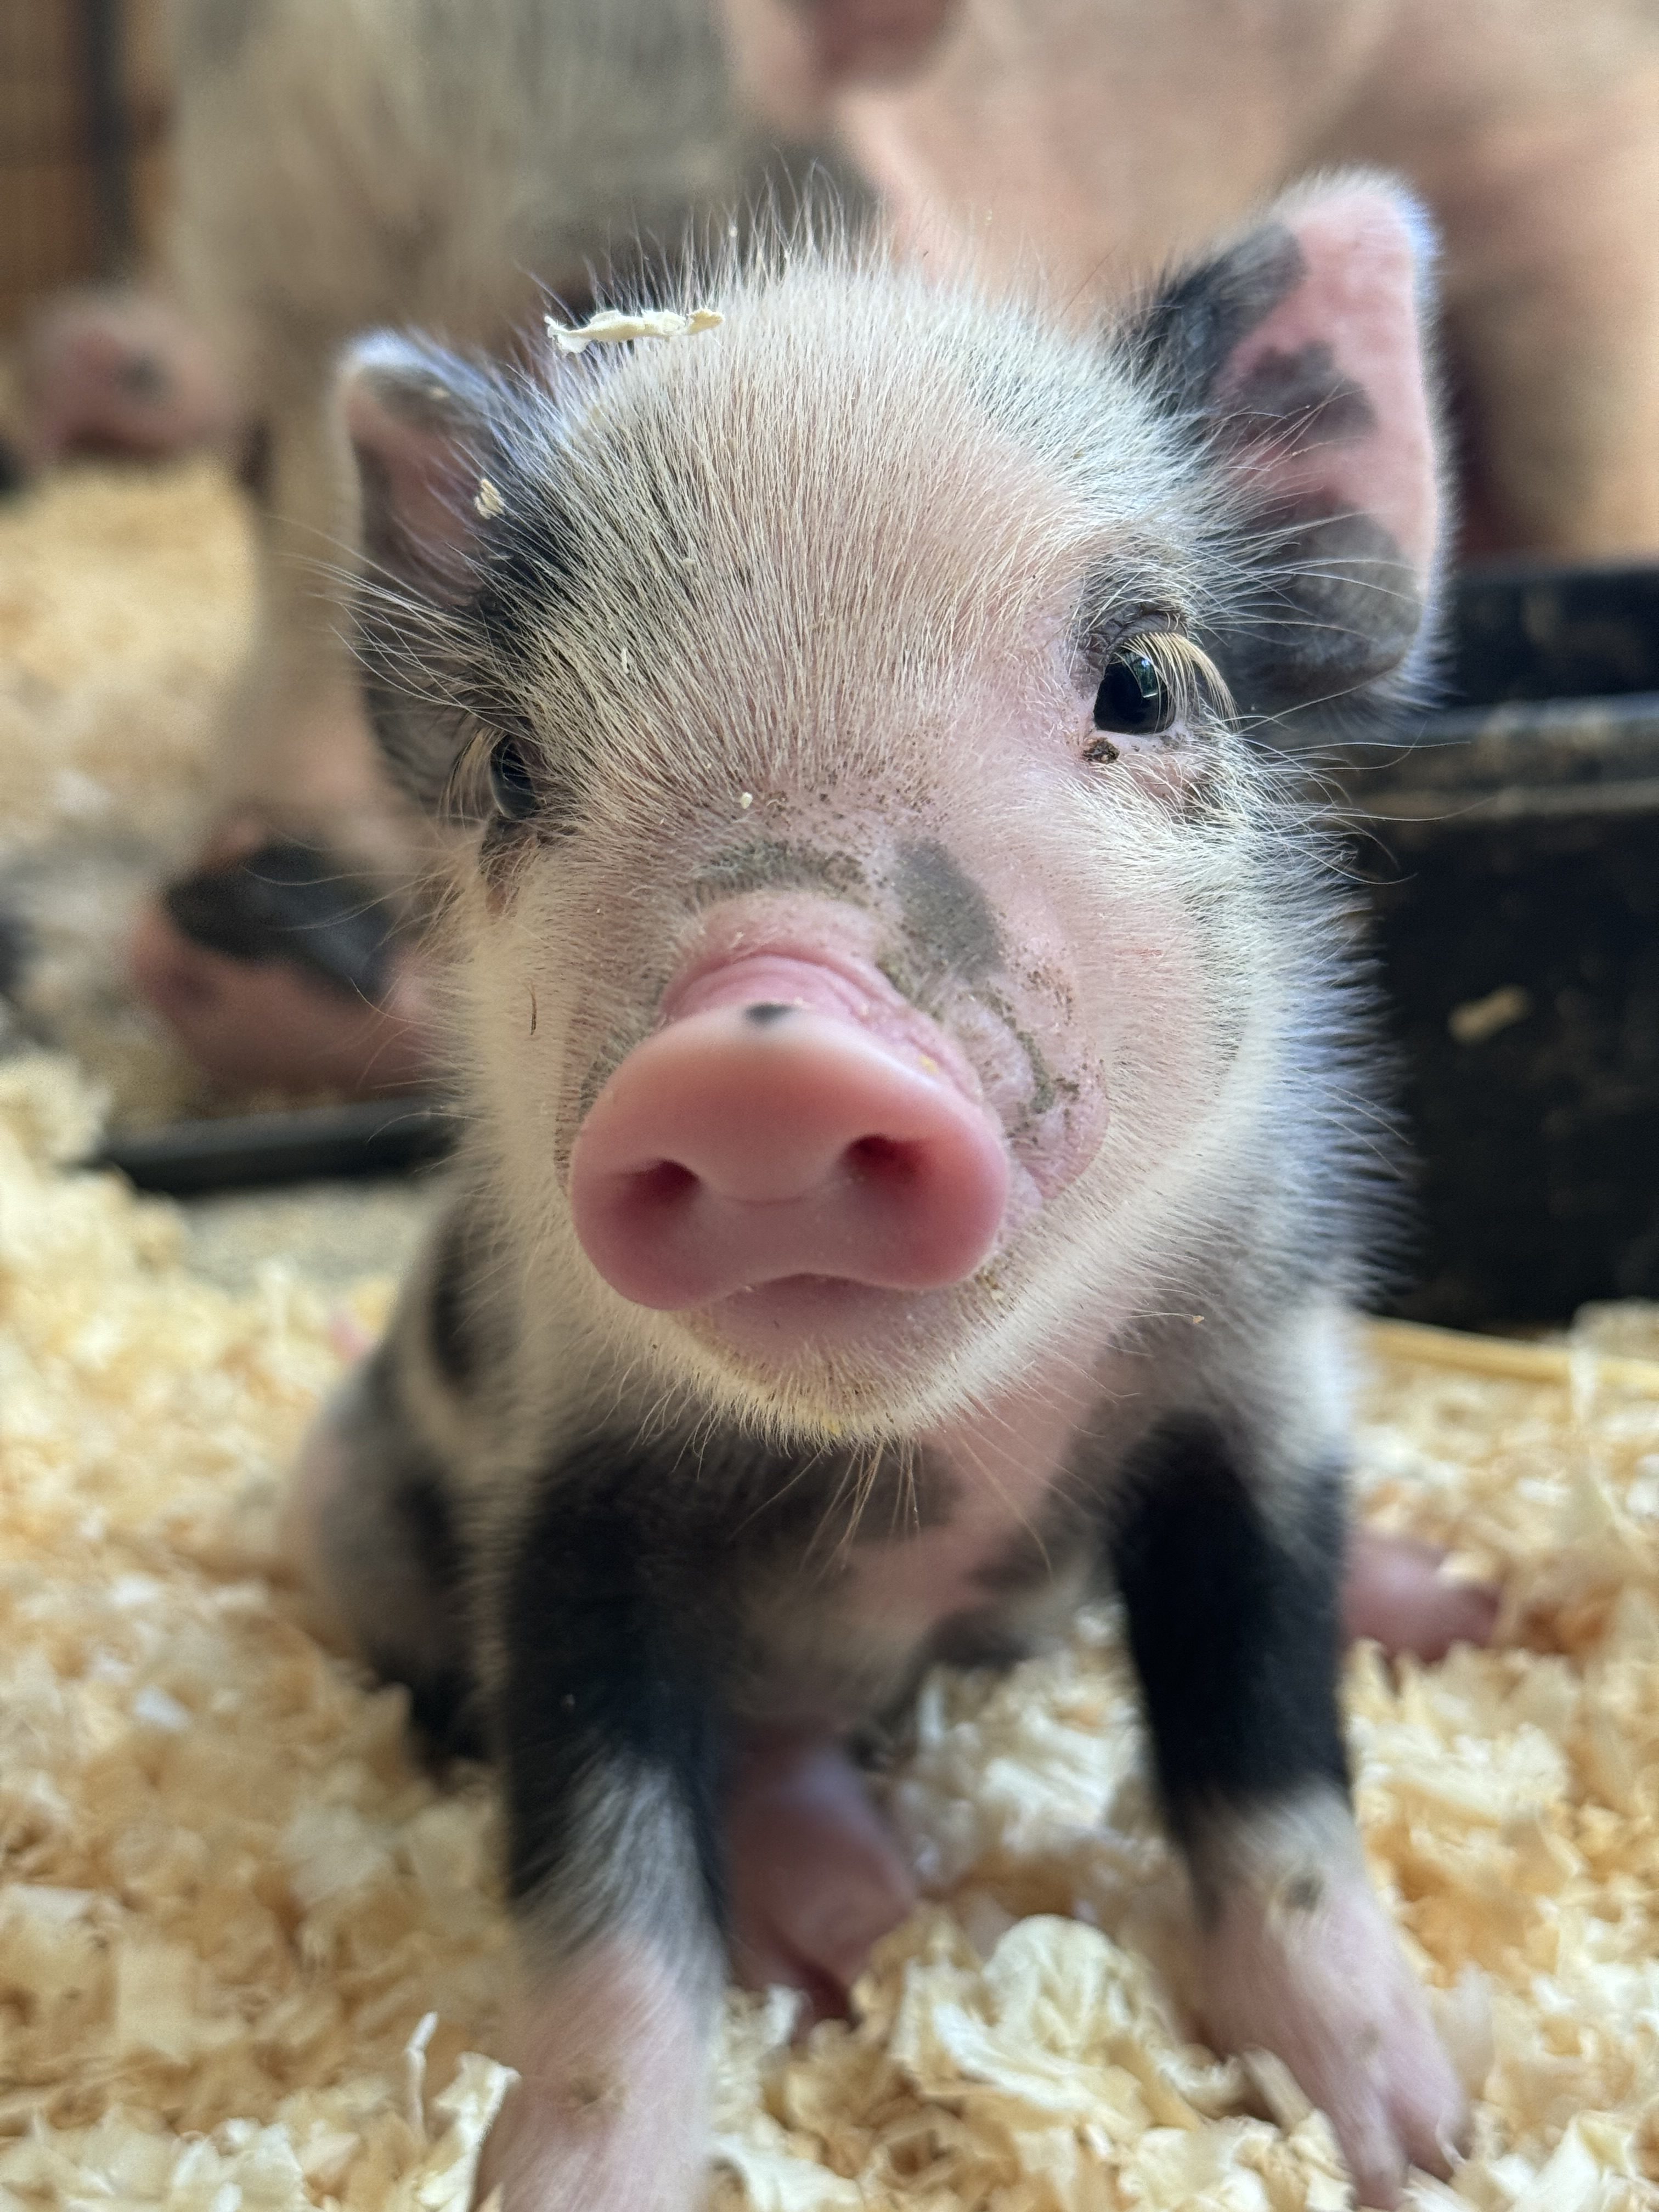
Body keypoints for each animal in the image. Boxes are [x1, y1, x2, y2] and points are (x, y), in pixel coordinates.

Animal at [286, 172, 1470, 2209]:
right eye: (513, 766)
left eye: (1143, 681)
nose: (766, 1044)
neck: (940, 1456)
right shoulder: (567, 1489)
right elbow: (600, 1886)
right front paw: (560, 2175)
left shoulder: (1259, 1389)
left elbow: (1271, 1767)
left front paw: (1412, 2137)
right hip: (352, 1519)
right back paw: (860, 1925)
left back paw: (1475, 1603)